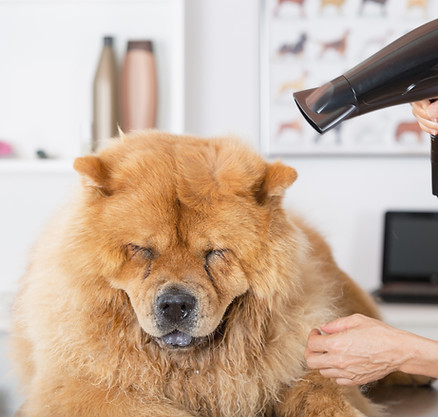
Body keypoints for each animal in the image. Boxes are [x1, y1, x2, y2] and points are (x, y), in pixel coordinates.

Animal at [12, 132, 408, 414]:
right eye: (142, 250)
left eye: (216, 253)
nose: (175, 304)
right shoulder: (79, 387)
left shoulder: (302, 360)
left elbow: (322, 393)